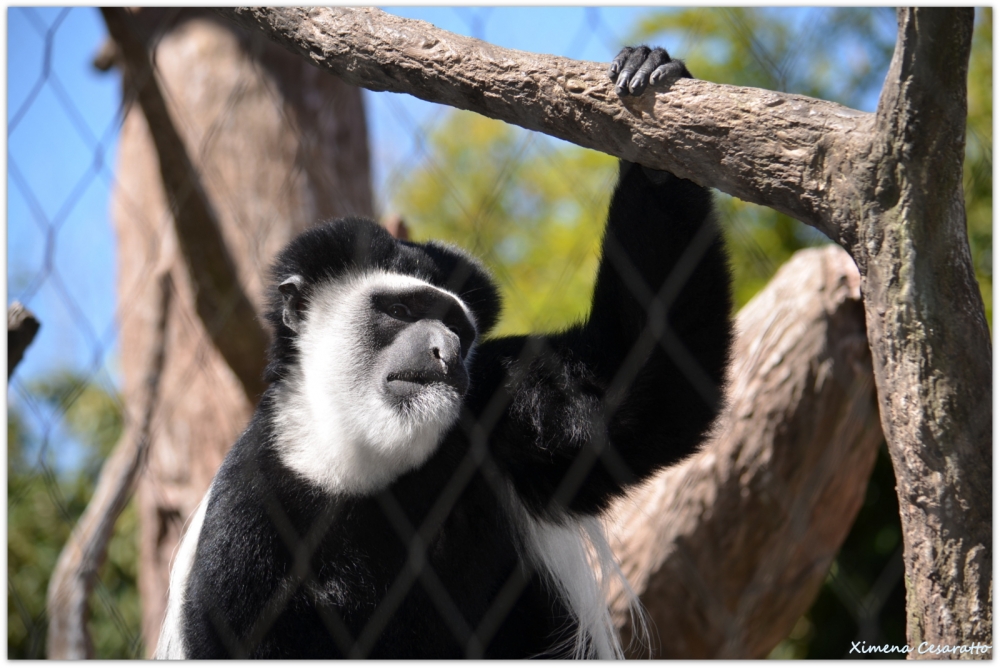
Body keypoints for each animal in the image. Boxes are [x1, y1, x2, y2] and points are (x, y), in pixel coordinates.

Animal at [158, 45, 736, 656]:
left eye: (456, 325)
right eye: (403, 310)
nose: (445, 351)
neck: (358, 463)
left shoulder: (498, 402)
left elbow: (637, 396)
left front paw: (654, 124)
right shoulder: (238, 537)